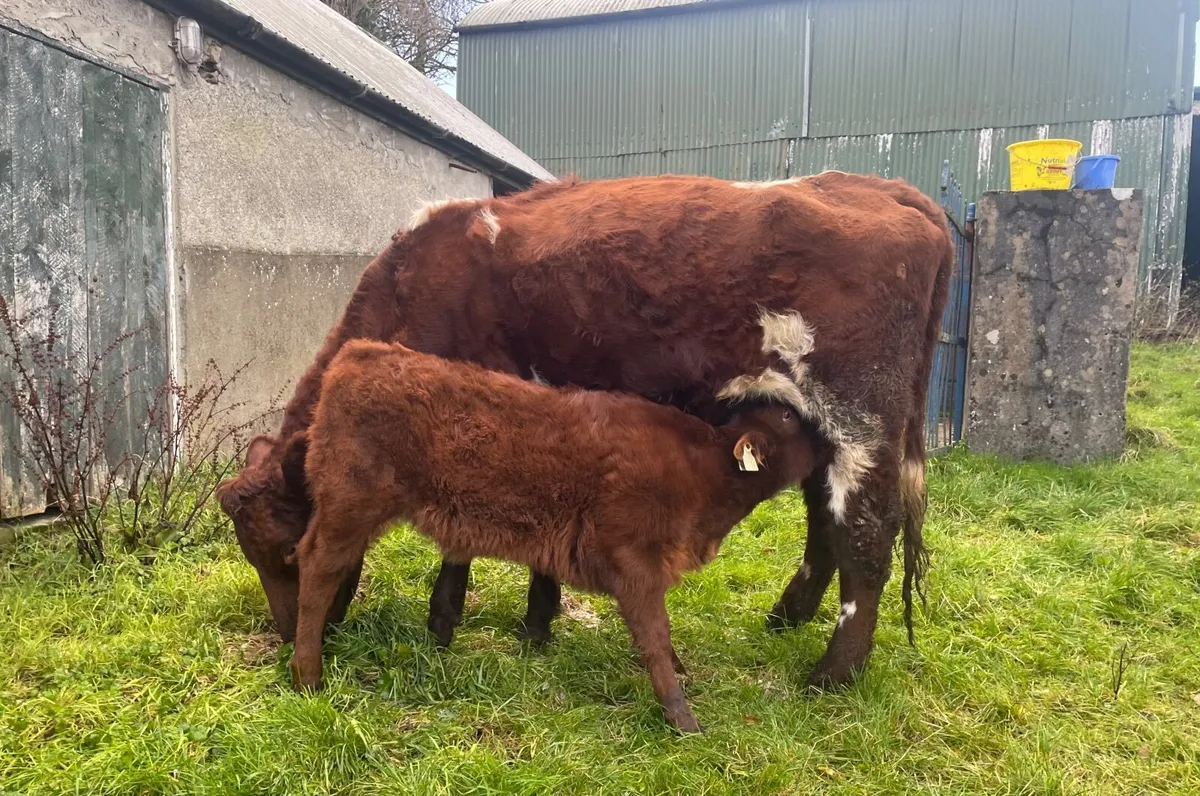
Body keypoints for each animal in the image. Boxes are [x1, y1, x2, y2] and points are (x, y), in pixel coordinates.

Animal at [218, 171, 953, 689]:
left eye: (287, 552)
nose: (284, 636)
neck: (423, 280)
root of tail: (881, 188)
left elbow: (465, 531)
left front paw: (448, 622)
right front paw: (534, 625)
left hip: (862, 416)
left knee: (866, 535)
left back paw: (833, 673)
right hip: (818, 423)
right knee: (824, 522)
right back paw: (786, 618)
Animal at [288, 340, 821, 732]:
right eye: (788, 417)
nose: (829, 437)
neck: (702, 469)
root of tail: (361, 352)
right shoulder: (634, 562)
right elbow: (655, 635)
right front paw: (682, 716)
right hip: (351, 506)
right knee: (318, 569)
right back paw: (306, 676)